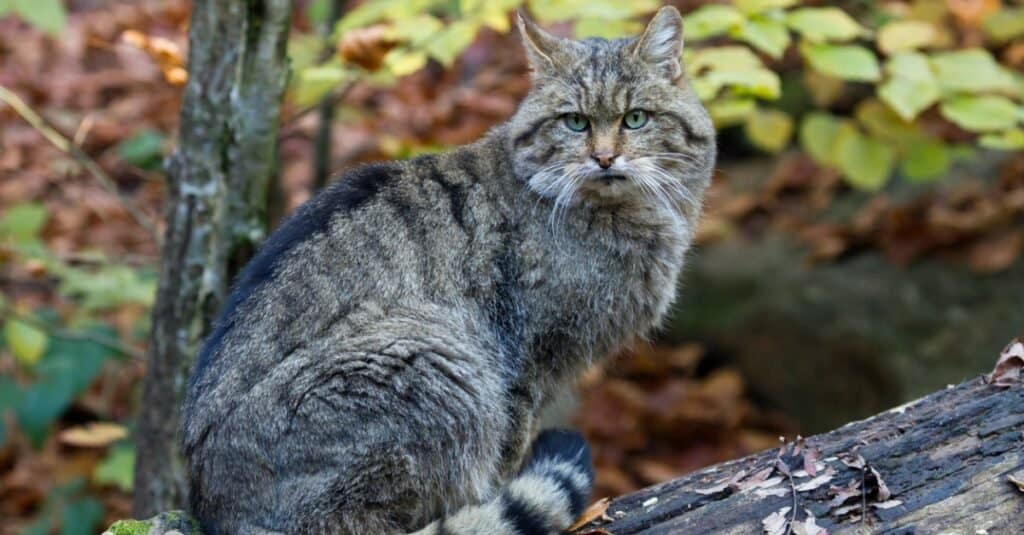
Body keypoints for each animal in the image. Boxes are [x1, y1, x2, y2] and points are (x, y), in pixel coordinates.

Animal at [182, 8, 712, 532]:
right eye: (575, 123)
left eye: (635, 119)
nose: (604, 158)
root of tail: (217, 512)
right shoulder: (526, 363)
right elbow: (508, 452)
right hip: (434, 354)